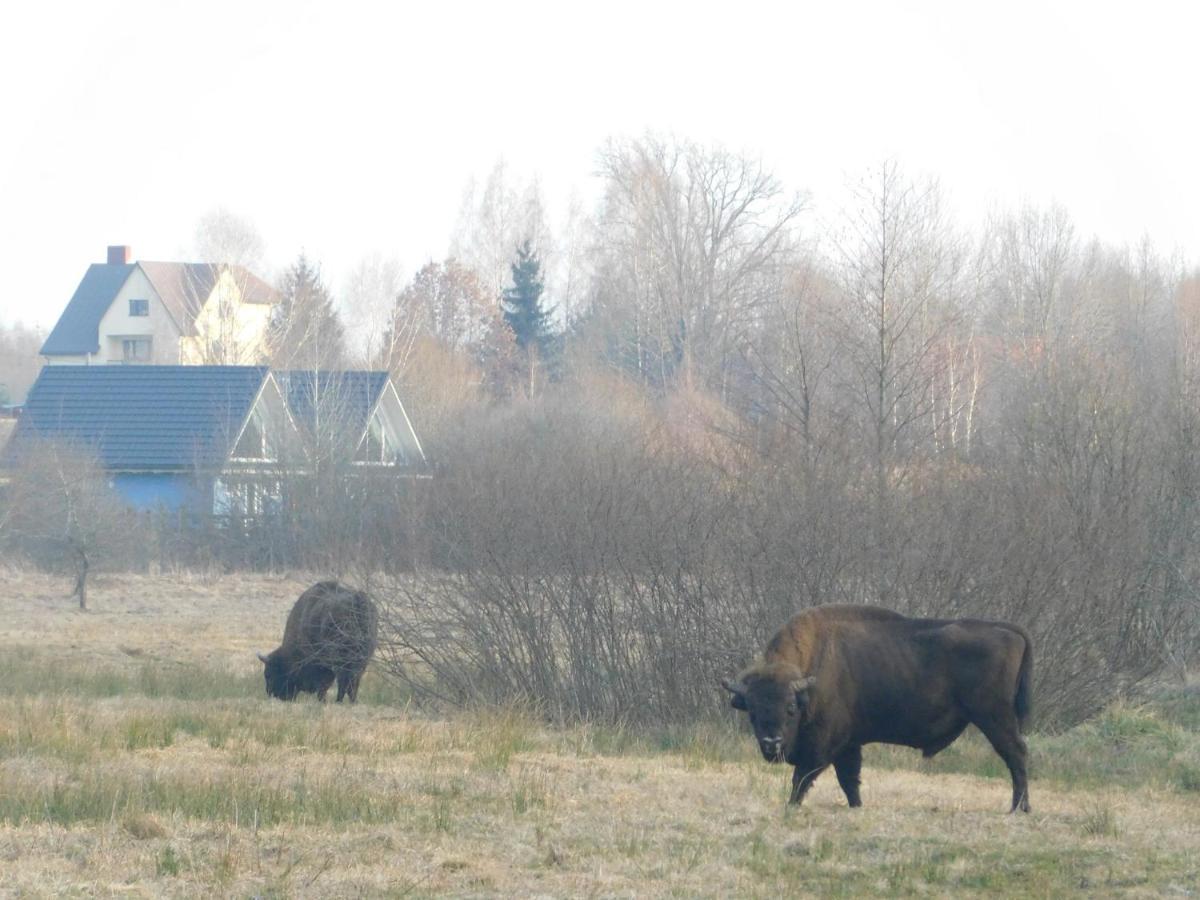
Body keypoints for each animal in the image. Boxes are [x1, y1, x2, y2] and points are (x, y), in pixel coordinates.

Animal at [720, 609, 1032, 816]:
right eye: (752, 711)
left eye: (791, 708)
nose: (771, 743)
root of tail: (1008, 630)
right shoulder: (849, 744)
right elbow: (849, 780)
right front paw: (857, 807)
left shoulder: (823, 745)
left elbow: (803, 777)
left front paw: (791, 805)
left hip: (994, 718)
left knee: (1015, 755)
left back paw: (1019, 808)